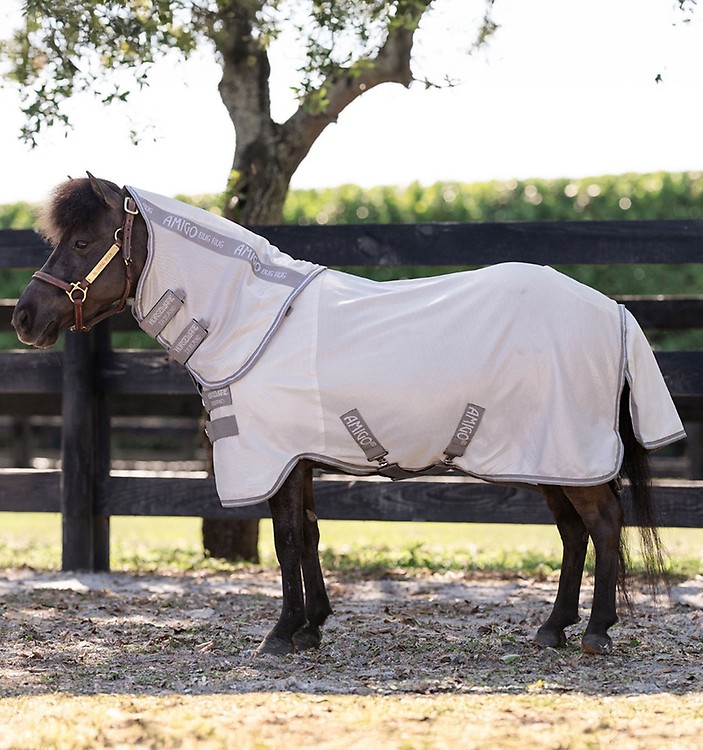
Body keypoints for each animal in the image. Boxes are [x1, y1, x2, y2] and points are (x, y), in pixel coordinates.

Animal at [12, 174, 685, 657]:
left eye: (82, 242)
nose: (25, 317)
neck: (251, 319)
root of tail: (614, 310)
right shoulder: (300, 457)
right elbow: (308, 534)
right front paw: (312, 627)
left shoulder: (276, 457)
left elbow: (285, 539)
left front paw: (280, 635)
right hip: (550, 457)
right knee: (574, 532)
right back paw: (553, 629)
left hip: (568, 453)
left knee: (604, 524)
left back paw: (595, 632)